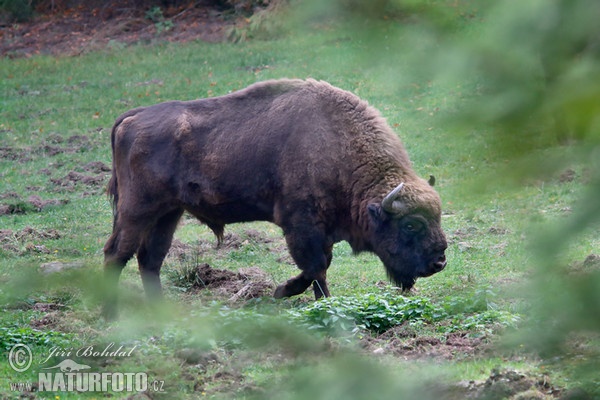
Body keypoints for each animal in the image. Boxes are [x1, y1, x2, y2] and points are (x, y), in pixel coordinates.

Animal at [103, 79, 448, 318]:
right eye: (411, 225)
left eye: (438, 217)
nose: (439, 262)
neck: (338, 146)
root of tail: (132, 118)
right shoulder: (300, 225)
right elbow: (316, 267)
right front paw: (307, 299)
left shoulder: (319, 231)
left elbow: (318, 266)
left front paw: (287, 292)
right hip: (137, 211)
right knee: (116, 254)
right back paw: (110, 315)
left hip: (168, 213)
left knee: (150, 259)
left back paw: (160, 311)